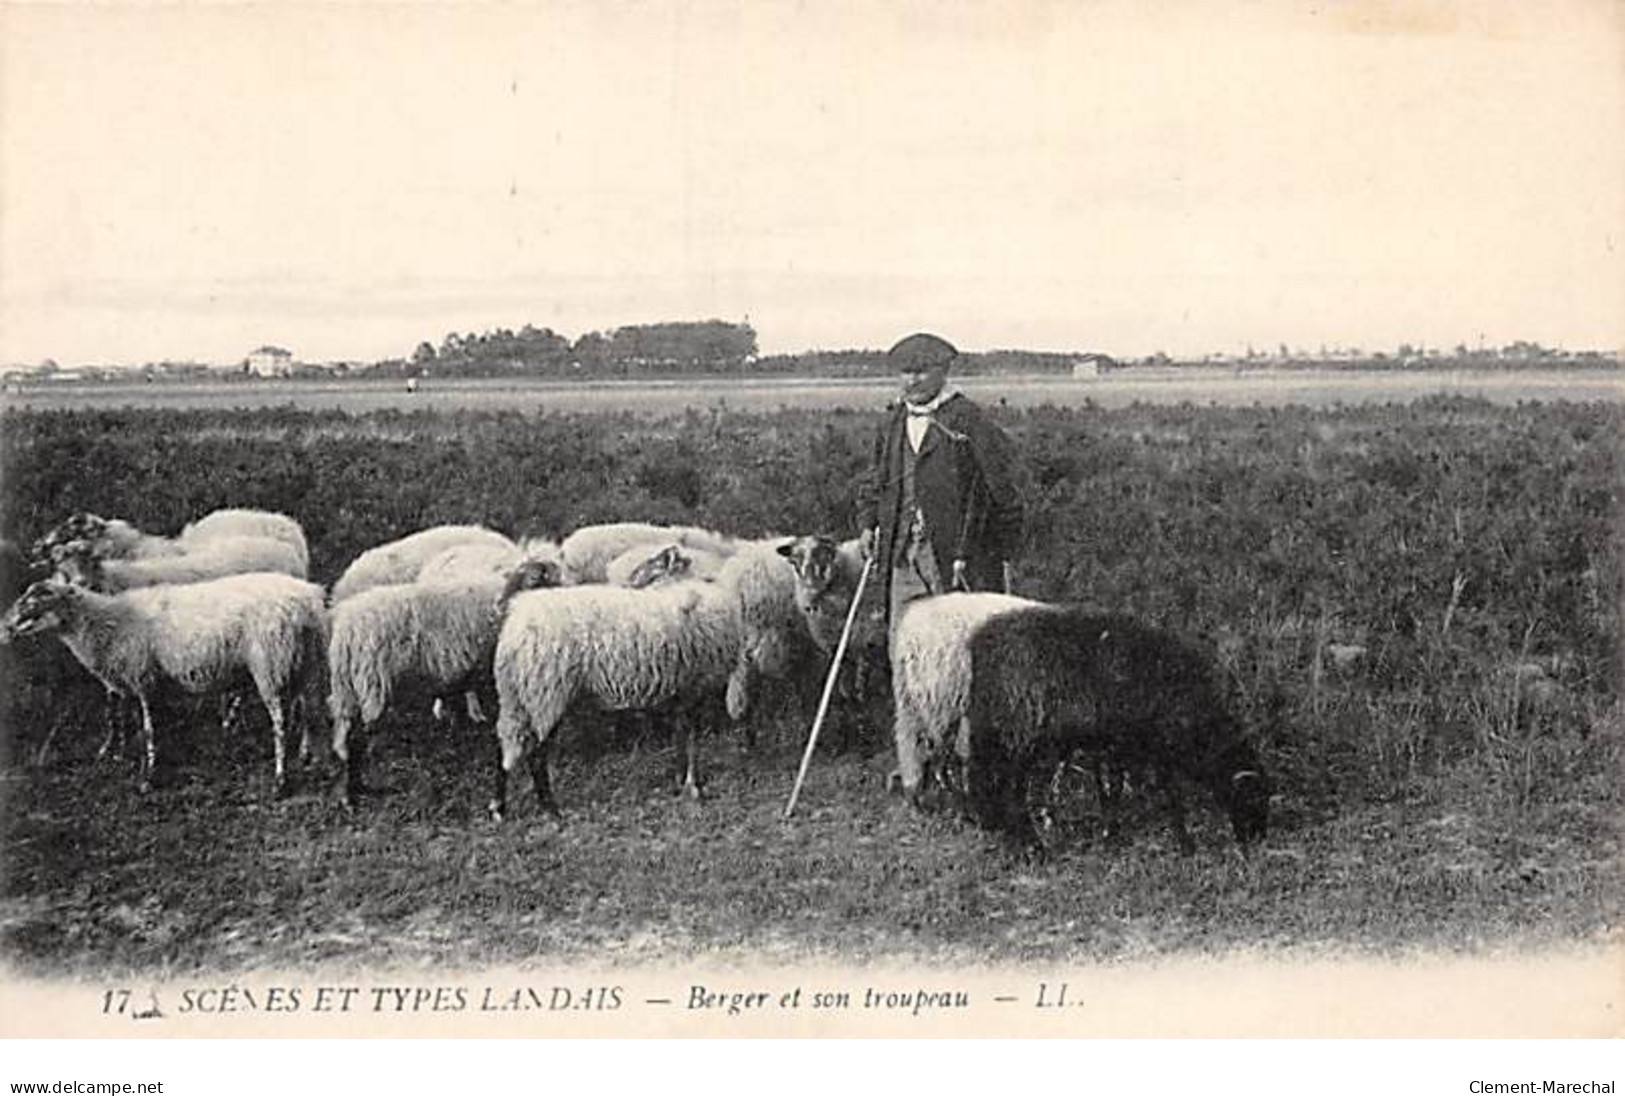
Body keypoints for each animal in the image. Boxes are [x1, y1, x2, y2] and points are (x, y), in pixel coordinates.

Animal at [0, 572, 326, 793]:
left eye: (41, 596)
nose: (5, 626)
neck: (106, 623)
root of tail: (308, 599)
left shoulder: (144, 678)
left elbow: (147, 729)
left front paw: (149, 776)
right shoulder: (136, 683)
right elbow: (131, 723)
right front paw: (122, 757)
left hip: (270, 664)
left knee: (281, 723)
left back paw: (281, 779)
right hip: (301, 662)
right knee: (307, 710)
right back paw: (306, 756)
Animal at [326, 556, 562, 803]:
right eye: (534, 577)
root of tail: (344, 631)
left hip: (348, 688)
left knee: (347, 733)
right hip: (372, 684)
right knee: (358, 738)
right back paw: (355, 793)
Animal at [962, 604, 1267, 852]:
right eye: (1252, 795)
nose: (1257, 838)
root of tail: (981, 645)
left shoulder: (1119, 740)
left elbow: (1113, 787)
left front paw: (1111, 833)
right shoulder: (1141, 738)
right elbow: (1163, 789)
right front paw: (1184, 842)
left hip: (995, 730)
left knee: (989, 779)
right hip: (1020, 731)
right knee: (1010, 789)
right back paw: (1031, 846)